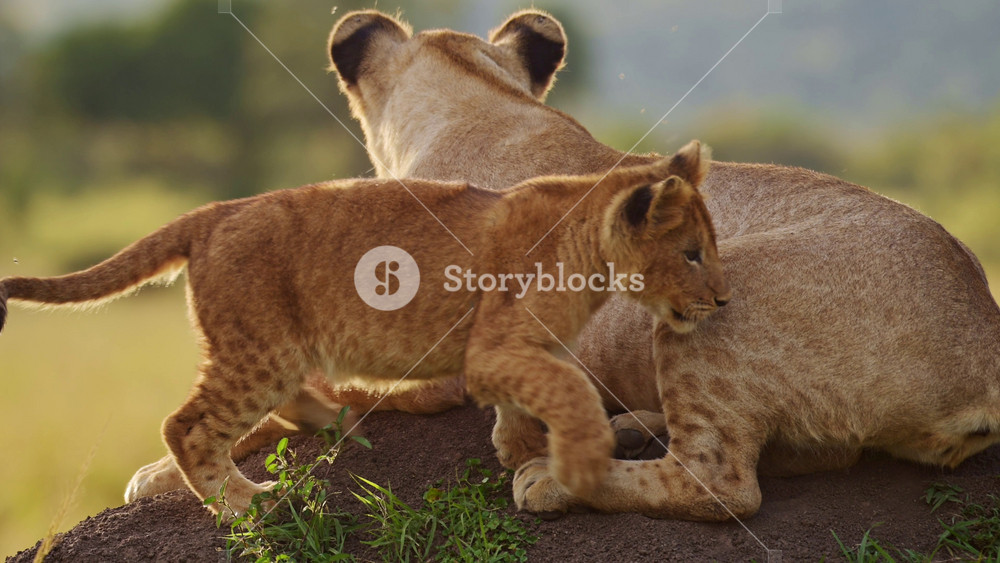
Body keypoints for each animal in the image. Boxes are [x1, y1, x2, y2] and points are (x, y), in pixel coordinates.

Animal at [0, 143, 728, 516]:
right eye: (692, 253)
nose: (723, 298)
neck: (589, 250)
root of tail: (213, 212)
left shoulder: (525, 351)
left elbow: (545, 394)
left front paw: (520, 451)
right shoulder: (492, 347)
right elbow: (570, 390)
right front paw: (574, 464)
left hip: (275, 350)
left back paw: (331, 419)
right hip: (262, 349)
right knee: (188, 426)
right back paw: (247, 503)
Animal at [320, 9, 1000, 520]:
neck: (480, 105)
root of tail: (983, 328)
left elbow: (339, 386)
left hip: (711, 303)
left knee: (723, 486)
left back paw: (551, 477)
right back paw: (626, 428)